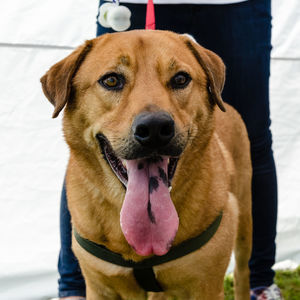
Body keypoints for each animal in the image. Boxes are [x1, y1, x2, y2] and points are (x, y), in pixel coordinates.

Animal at [41, 29, 252, 298]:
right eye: (111, 80)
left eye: (180, 79)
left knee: (243, 271)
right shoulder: (99, 287)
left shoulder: (206, 287)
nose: (155, 129)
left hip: (245, 223)